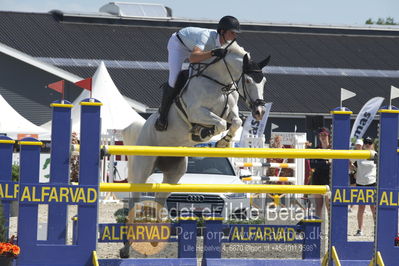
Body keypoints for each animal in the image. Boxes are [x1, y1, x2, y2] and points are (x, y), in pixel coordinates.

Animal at [123, 41, 270, 208]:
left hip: (175, 172)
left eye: (264, 82)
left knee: (161, 197)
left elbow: (235, 122)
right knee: (136, 193)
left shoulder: (230, 112)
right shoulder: (196, 112)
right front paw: (205, 133)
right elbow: (219, 124)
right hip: (144, 167)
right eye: (248, 80)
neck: (219, 84)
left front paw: (222, 142)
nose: (260, 111)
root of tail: (142, 130)